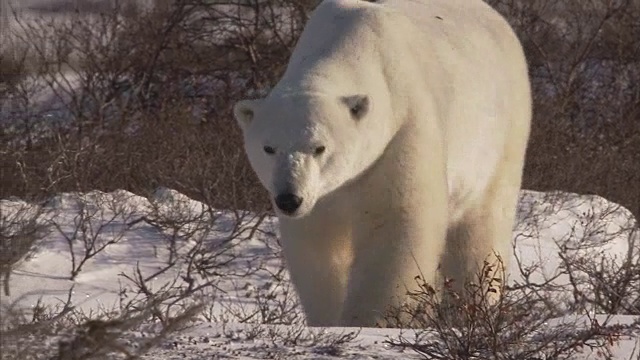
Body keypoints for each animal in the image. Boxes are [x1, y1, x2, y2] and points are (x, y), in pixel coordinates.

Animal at [232, 0, 532, 328]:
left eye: (320, 147)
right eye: (269, 148)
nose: (289, 199)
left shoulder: (400, 130)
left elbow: (394, 221)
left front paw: (371, 320)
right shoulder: (321, 194)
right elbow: (317, 242)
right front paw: (328, 318)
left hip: (500, 135)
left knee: (480, 227)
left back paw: (471, 310)